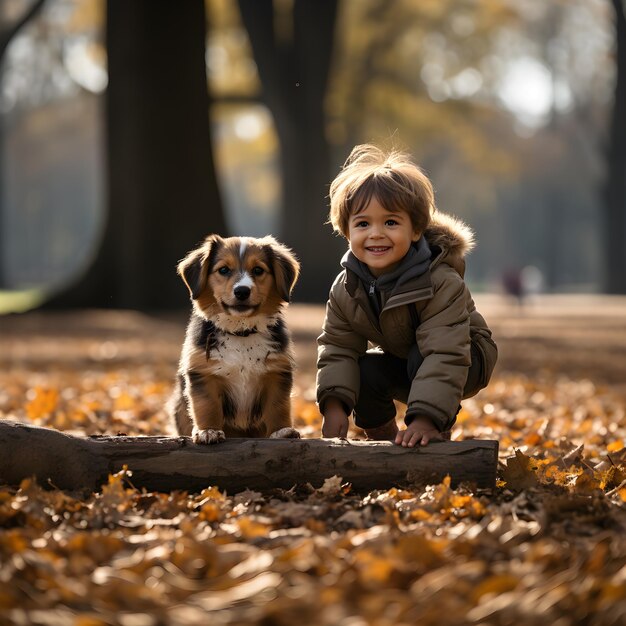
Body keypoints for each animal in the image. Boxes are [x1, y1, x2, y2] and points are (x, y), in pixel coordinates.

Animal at [168, 234, 300, 444]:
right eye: (223, 270)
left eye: (258, 270)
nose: (242, 291)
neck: (240, 331)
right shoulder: (203, 373)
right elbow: (207, 406)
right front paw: (208, 431)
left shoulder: (277, 371)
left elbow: (278, 406)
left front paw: (282, 431)